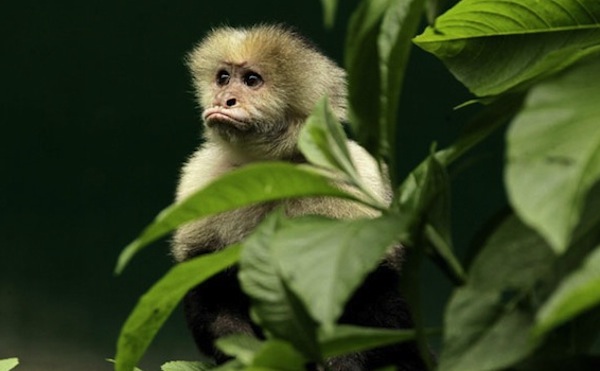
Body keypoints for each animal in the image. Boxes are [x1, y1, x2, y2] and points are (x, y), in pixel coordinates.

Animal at [173, 24, 426, 370]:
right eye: (223, 78)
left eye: (252, 80)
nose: (224, 99)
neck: (271, 174)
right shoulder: (202, 180)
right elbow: (209, 290)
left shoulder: (354, 178)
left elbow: (378, 294)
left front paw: (343, 362)